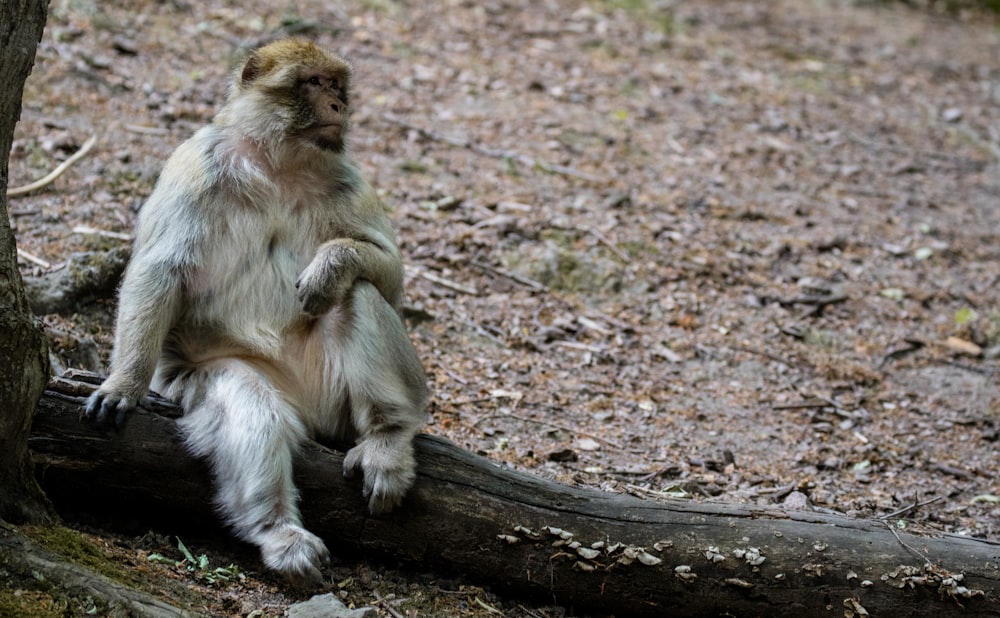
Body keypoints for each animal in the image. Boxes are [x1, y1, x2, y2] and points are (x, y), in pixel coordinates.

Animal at [85, 39, 426, 588]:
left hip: (332, 401)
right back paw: (278, 533)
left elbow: (389, 279)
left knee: (356, 295)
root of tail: (310, 412)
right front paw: (124, 384)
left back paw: (387, 438)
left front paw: (331, 266)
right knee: (251, 402)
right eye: (312, 82)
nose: (338, 105)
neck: (277, 162)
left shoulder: (348, 178)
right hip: (209, 379)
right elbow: (159, 271)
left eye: (337, 85)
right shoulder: (195, 163)